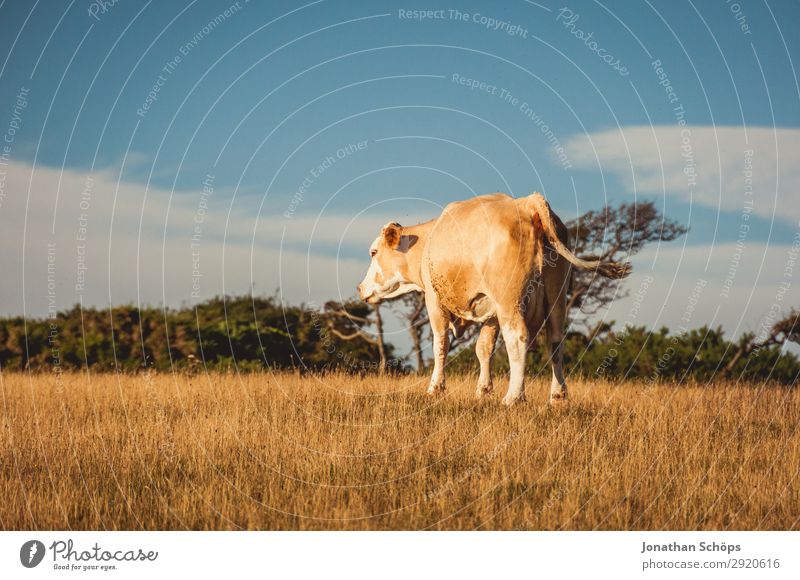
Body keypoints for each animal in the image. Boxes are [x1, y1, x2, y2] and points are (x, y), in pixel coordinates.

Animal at [358, 193, 632, 406]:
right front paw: (483, 390)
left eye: (373, 252)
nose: (360, 288)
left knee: (518, 338)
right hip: (556, 299)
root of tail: (527, 203)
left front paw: (435, 388)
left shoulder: (435, 301)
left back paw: (514, 397)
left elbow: (440, 344)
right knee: (555, 342)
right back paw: (557, 396)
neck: (428, 242)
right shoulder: (490, 310)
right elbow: (484, 348)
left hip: (509, 300)